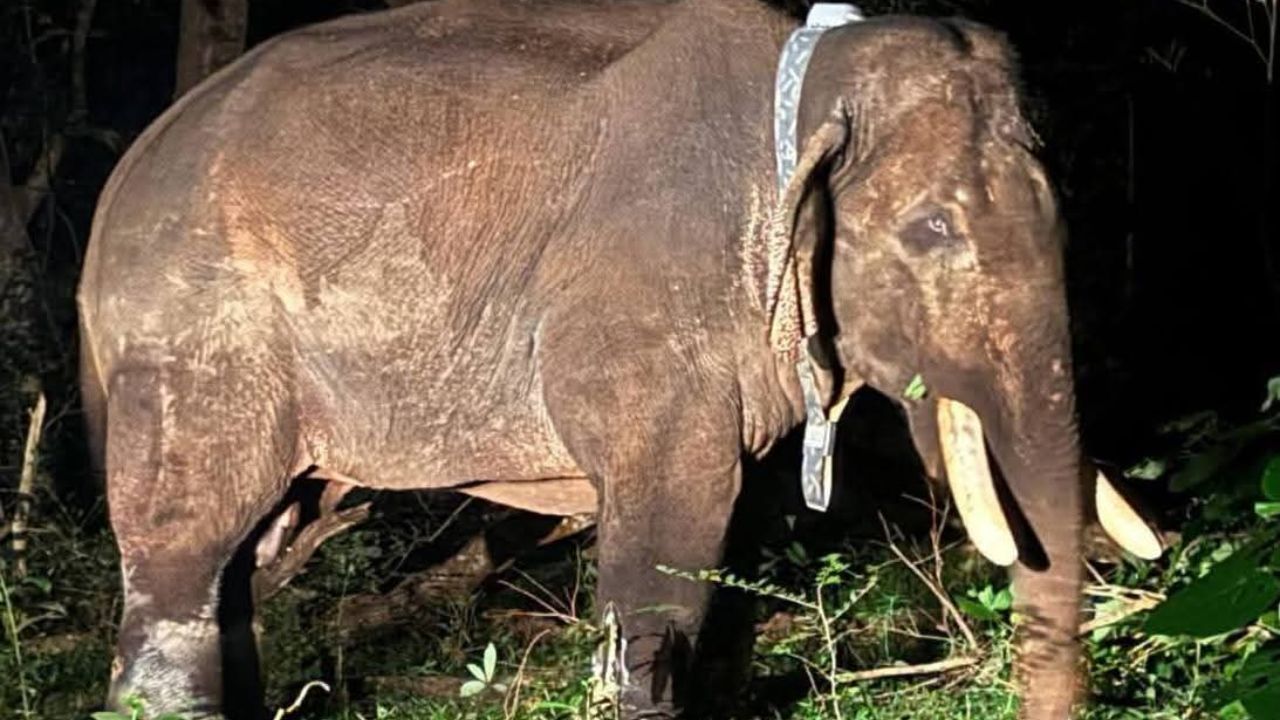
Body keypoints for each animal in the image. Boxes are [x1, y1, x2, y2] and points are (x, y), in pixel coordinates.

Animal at [76, 0, 1161, 718]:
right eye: (930, 230)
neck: (809, 76)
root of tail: (123, 180)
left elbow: (738, 557)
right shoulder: (645, 320)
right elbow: (665, 562)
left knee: (246, 568)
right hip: (194, 346)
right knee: (185, 566)